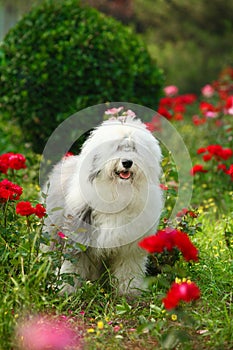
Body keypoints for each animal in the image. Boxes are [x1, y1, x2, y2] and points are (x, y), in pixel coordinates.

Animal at [44, 115, 164, 296]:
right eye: (116, 148)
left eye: (134, 149)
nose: (127, 162)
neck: (118, 191)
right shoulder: (79, 237)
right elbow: (72, 265)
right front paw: (66, 290)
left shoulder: (130, 247)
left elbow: (128, 269)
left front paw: (128, 292)